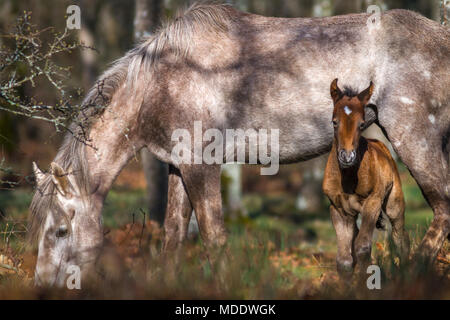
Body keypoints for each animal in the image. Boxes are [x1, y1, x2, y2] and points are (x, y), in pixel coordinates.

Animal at [322, 79, 410, 276]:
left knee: (400, 238)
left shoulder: (373, 202)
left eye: (362, 124)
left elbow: (362, 247)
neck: (348, 177)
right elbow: (344, 259)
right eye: (334, 122)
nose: (347, 156)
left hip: (394, 204)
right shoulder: (338, 209)